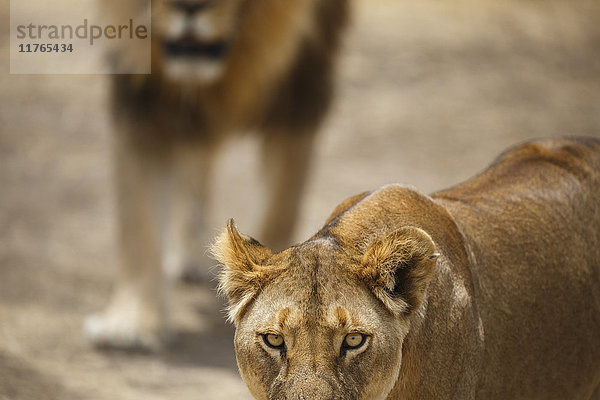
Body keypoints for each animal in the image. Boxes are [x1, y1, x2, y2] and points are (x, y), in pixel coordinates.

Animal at [82, 0, 350, 350]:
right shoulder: (142, 101)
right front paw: (132, 324)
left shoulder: (302, 89)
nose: (189, 6)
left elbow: (281, 206)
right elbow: (137, 219)